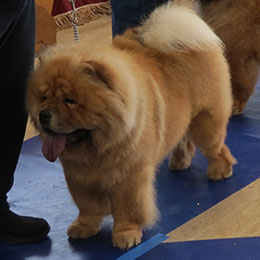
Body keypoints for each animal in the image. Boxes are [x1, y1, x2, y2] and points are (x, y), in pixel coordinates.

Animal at [25, 2, 236, 250]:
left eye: (70, 100)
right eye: (43, 97)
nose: (44, 114)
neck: (97, 150)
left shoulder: (129, 177)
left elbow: (128, 209)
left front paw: (126, 235)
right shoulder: (79, 178)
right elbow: (87, 207)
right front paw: (84, 228)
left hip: (205, 120)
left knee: (216, 148)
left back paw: (219, 171)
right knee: (183, 140)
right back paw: (179, 162)